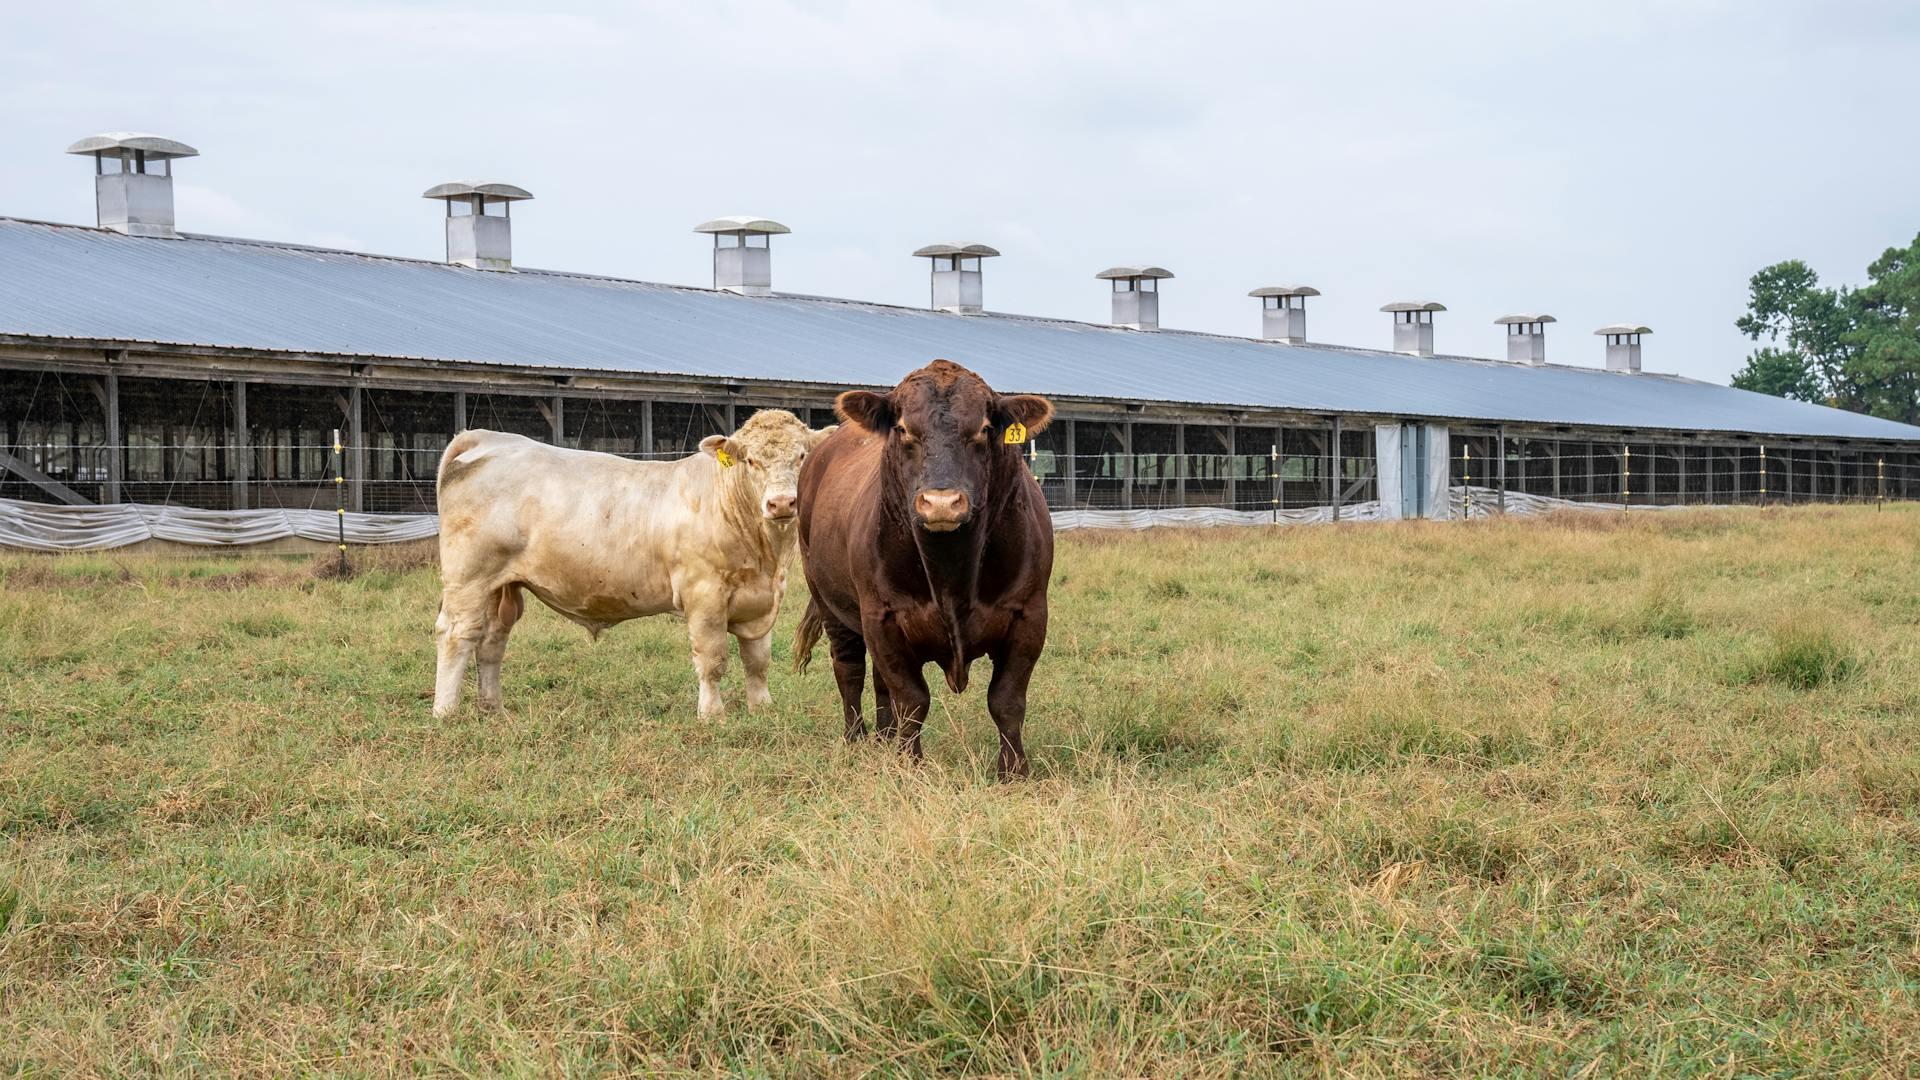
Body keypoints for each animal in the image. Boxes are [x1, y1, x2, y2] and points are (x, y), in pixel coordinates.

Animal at [433, 405, 833, 714]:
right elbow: (712, 659)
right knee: (457, 635)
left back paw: (493, 710)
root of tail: (487, 438)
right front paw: (712, 714)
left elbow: (758, 660)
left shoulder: (760, 600)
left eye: (801, 456)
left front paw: (761, 709)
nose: (781, 503)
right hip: (468, 578)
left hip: (500, 586)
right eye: (751, 460)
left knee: (491, 641)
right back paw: (446, 712)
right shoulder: (704, 595)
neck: (766, 558)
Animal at [798, 361, 1067, 772]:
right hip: (829, 602)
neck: (951, 572)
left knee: (878, 681)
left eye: (984, 428)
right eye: (903, 428)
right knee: (849, 669)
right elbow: (912, 698)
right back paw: (856, 737)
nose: (942, 503)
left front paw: (1013, 769)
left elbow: (1006, 700)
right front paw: (909, 764)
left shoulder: (1030, 613)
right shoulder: (882, 615)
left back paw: (884, 737)